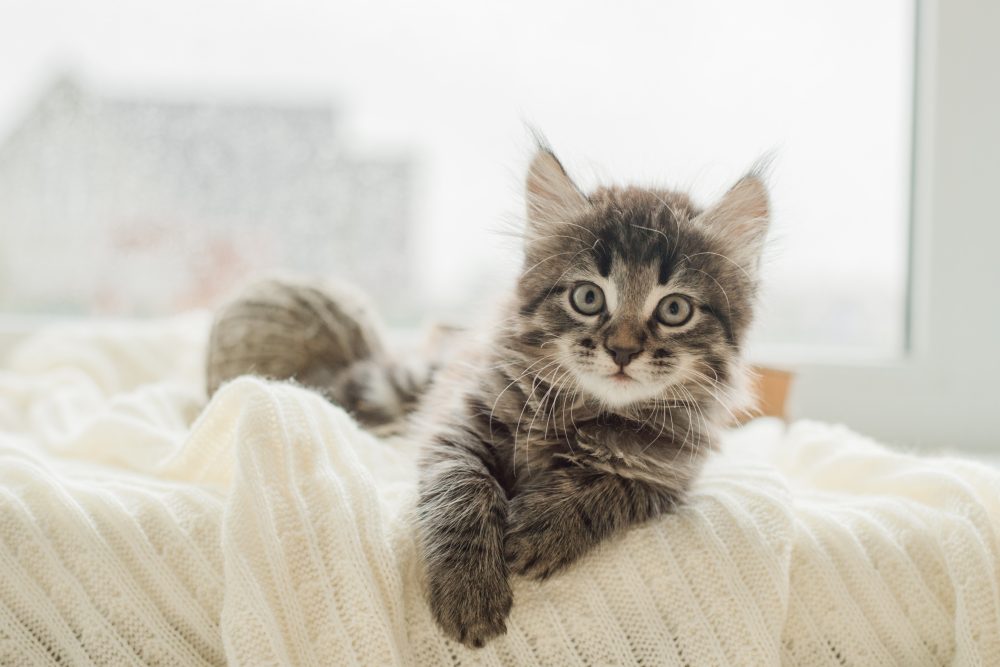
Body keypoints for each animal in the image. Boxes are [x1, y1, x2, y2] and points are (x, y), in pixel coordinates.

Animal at [410, 145, 768, 648]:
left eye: (675, 309)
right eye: (587, 298)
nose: (622, 351)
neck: (586, 412)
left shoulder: (666, 477)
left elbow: (607, 487)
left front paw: (542, 530)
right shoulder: (457, 425)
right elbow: (461, 488)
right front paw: (469, 588)